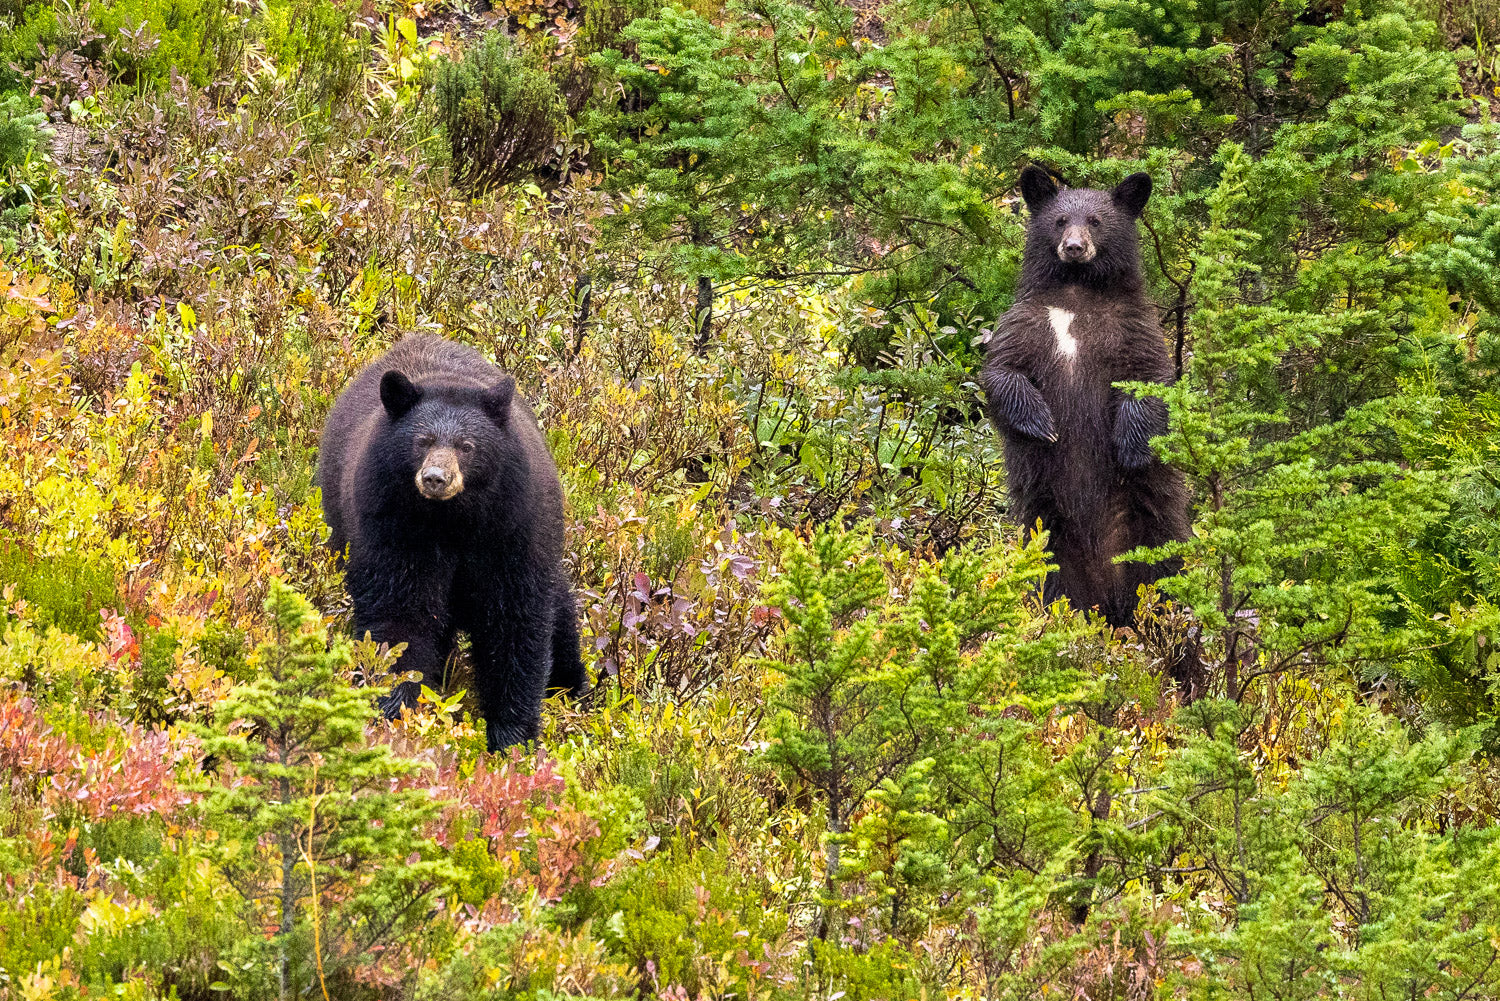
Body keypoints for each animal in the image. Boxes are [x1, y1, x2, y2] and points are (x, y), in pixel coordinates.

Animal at [316, 334, 589, 751]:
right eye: (422, 440)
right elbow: (400, 615)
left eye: (467, 445)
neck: (453, 521)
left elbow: (514, 623)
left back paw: (571, 684)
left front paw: (512, 737)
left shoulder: (512, 529)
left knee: (559, 613)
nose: (435, 477)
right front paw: (397, 712)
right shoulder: (392, 525)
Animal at [980, 166, 1191, 629]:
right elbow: (1001, 373)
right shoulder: (1028, 324)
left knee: (1167, 575)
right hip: (1049, 536)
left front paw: (1131, 448)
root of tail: (1108, 596)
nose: (1074, 247)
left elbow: (1151, 380)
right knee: (1052, 583)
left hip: (1155, 529)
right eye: (1060, 221)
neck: (1077, 299)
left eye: (1095, 221)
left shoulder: (1132, 329)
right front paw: (1041, 423)